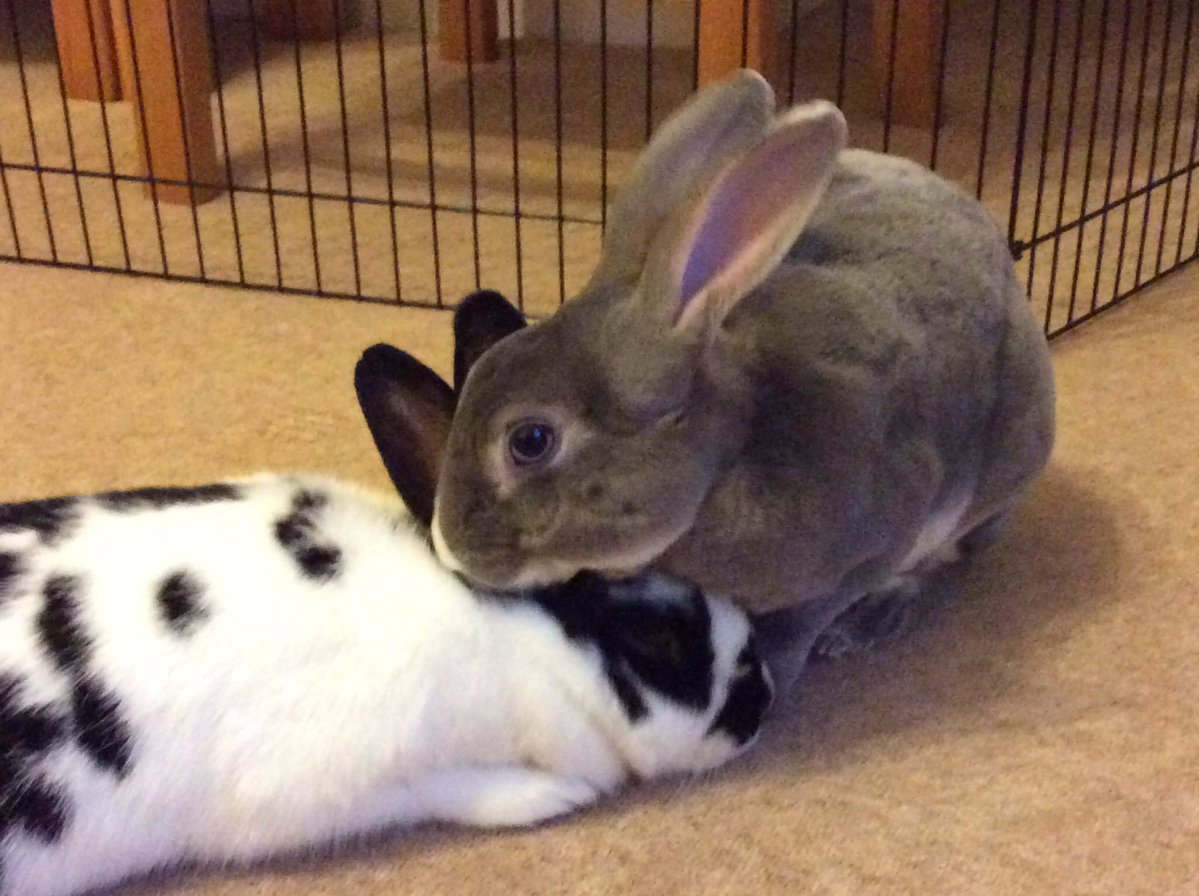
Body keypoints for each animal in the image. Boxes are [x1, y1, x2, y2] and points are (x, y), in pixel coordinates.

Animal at [0, 342, 772, 896]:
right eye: (653, 633)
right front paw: (548, 795)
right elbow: (438, 789)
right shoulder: (317, 784)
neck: (498, 636)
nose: (761, 702)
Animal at [429, 69, 1056, 684]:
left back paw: (871, 623)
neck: (727, 458)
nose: (449, 546)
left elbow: (799, 629)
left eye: (530, 440)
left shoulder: (870, 549)